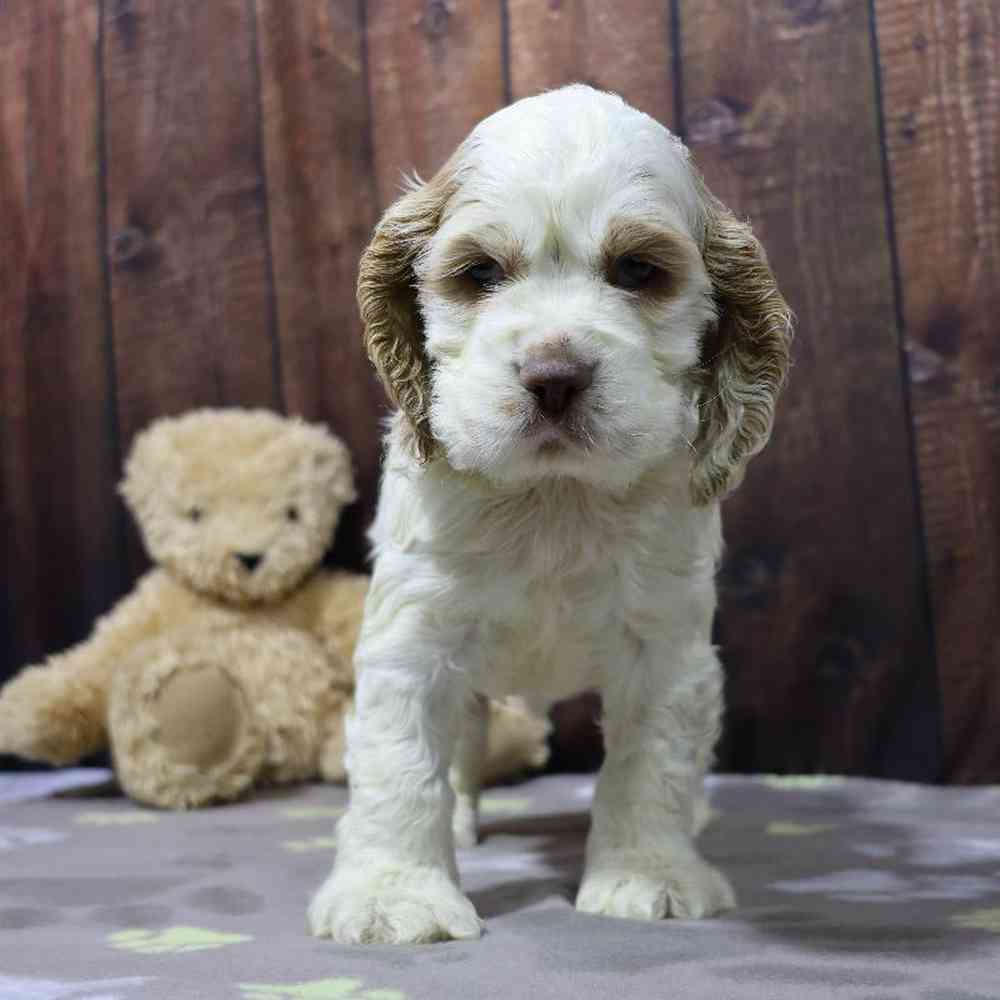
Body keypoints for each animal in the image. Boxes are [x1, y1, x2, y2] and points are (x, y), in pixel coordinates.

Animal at [308, 82, 792, 940]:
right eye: (479, 272)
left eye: (637, 269)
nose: (554, 376)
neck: (555, 499)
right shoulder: (414, 635)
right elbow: (401, 762)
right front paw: (393, 896)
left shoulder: (667, 648)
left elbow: (652, 763)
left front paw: (649, 875)